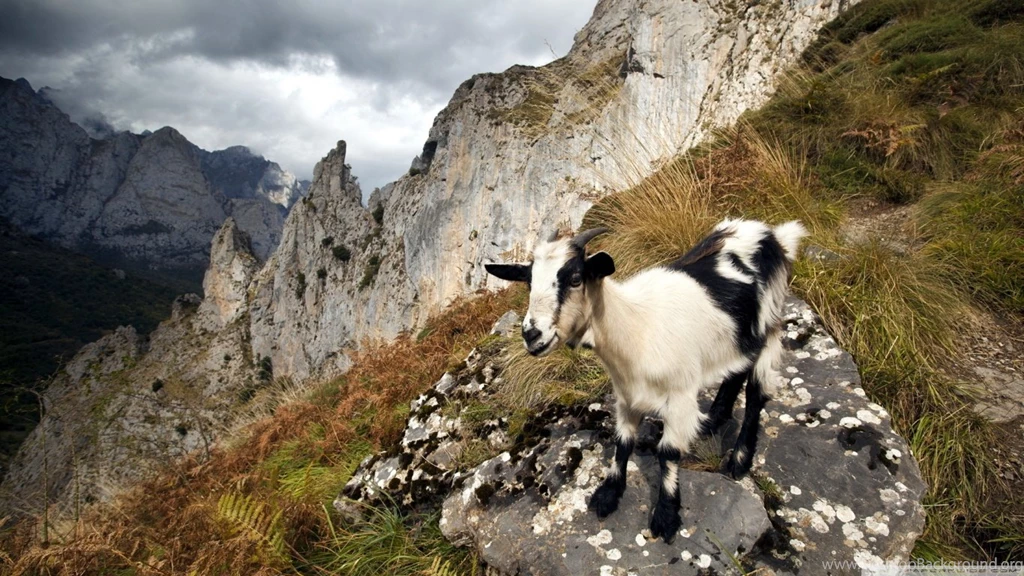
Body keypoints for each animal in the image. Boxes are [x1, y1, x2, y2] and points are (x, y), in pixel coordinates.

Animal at [485, 219, 807, 542]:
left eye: (576, 278)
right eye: (528, 281)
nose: (531, 335)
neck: (636, 327)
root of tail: (770, 233)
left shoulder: (679, 396)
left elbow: (668, 452)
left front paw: (666, 515)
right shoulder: (626, 396)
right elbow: (623, 442)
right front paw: (608, 494)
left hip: (769, 322)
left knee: (756, 392)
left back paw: (740, 459)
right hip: (738, 336)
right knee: (737, 371)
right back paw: (713, 420)